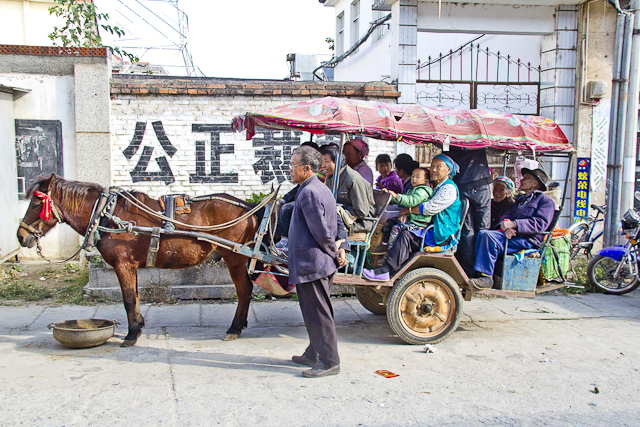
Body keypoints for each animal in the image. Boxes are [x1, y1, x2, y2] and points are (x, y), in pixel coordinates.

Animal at [16, 176, 262, 346]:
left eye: (36, 204)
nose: (21, 236)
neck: (107, 215)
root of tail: (249, 207)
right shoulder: (129, 266)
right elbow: (134, 296)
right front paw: (138, 327)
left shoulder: (123, 264)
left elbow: (127, 299)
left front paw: (131, 334)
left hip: (235, 258)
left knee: (244, 290)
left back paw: (234, 328)